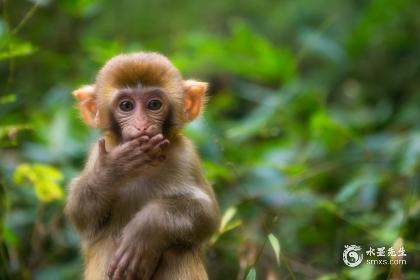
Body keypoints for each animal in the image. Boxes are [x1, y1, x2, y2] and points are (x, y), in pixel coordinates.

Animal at [65, 52, 220, 280]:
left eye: (154, 105)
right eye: (126, 106)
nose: (142, 126)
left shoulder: (187, 156)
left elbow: (207, 214)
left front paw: (146, 229)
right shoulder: (98, 153)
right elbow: (80, 213)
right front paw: (115, 168)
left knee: (179, 251)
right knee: (106, 242)